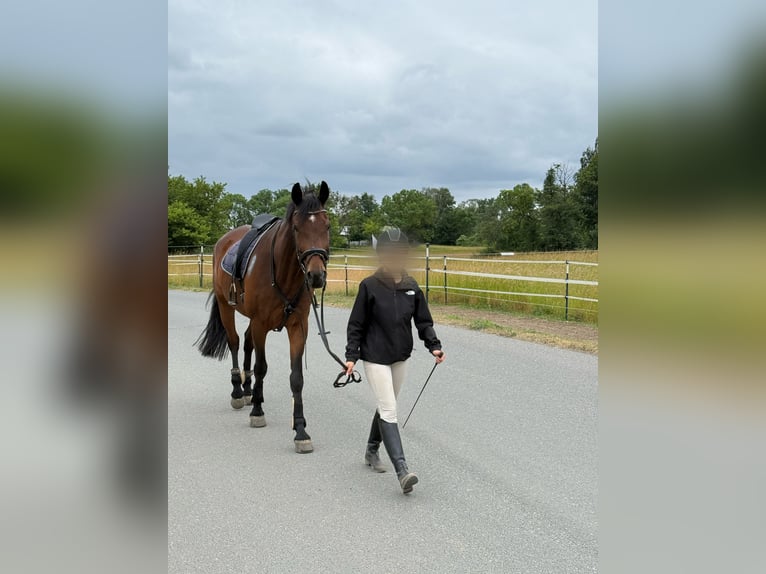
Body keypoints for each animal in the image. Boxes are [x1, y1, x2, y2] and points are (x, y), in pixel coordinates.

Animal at [195, 182, 331, 453]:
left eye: (327, 226)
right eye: (297, 228)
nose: (316, 276)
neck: (284, 272)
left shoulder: (298, 327)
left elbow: (296, 378)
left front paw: (300, 430)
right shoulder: (261, 324)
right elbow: (261, 367)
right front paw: (257, 411)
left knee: (246, 343)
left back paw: (248, 390)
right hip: (227, 308)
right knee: (236, 342)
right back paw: (239, 392)